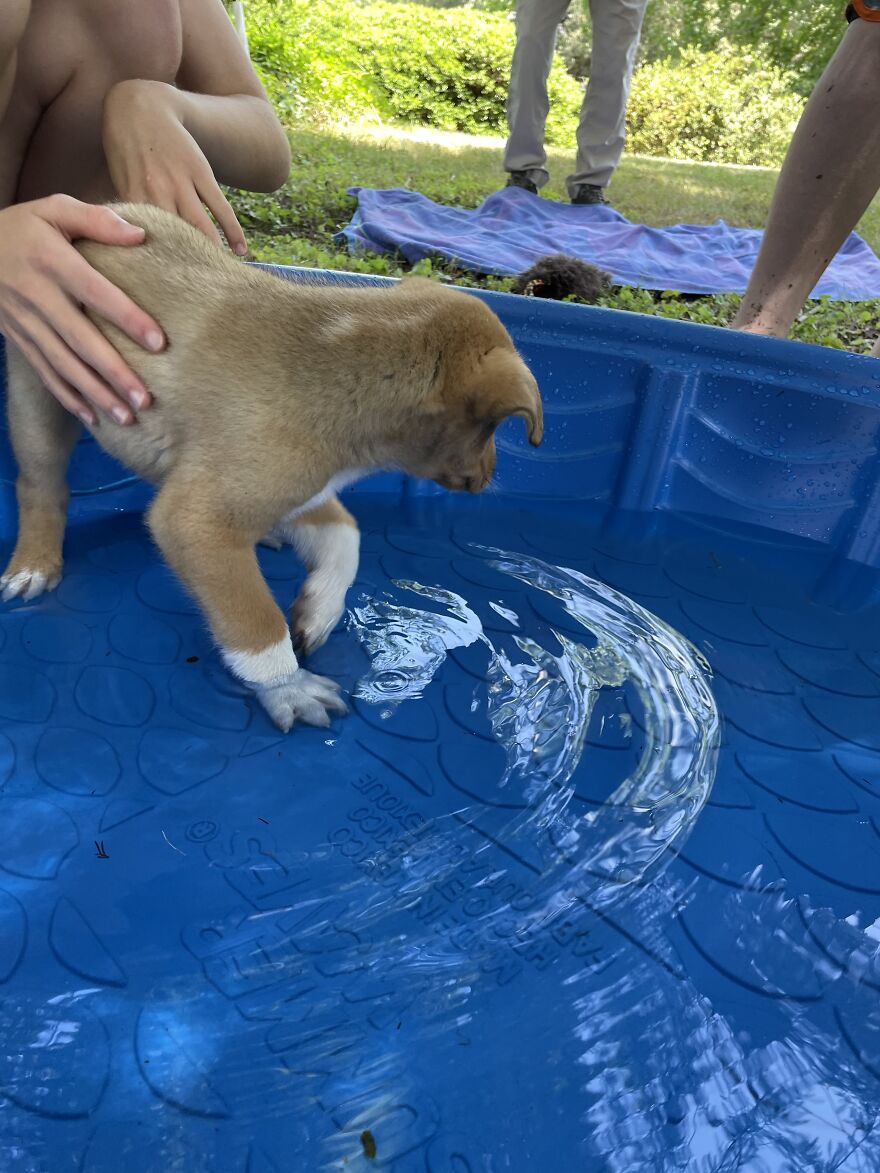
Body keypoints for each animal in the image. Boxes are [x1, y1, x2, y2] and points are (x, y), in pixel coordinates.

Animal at [1, 206, 544, 727]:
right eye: (495, 427)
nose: (491, 475)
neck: (347, 356)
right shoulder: (198, 520)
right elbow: (253, 621)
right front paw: (287, 686)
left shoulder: (303, 491)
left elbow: (346, 537)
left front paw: (319, 610)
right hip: (40, 395)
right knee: (41, 485)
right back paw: (34, 563)